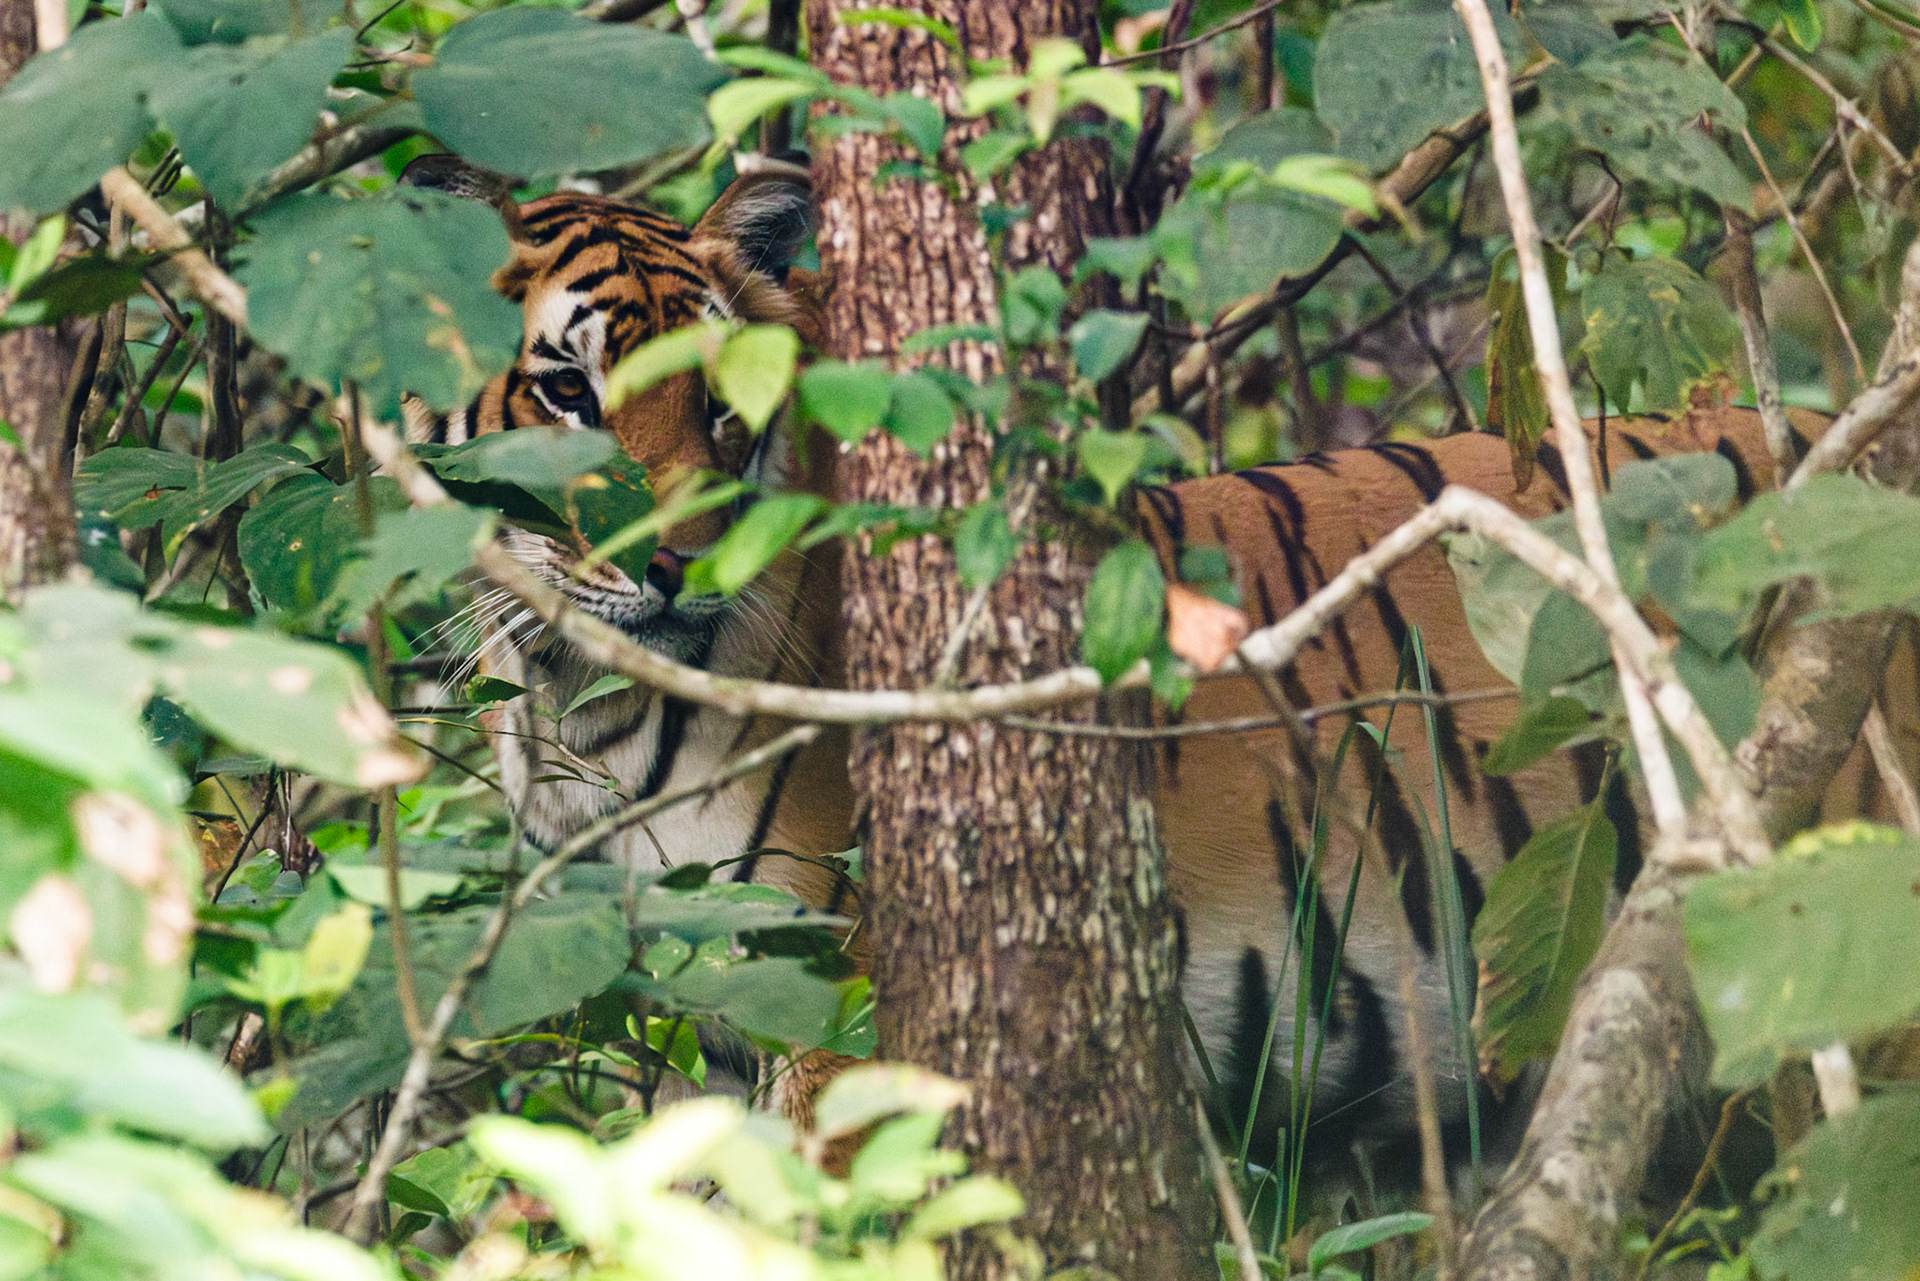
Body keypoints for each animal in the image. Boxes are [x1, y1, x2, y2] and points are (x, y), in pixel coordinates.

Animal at [396, 154, 1865, 1171]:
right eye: (568, 392)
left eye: (721, 404)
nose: (681, 566)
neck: (575, 701)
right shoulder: (697, 1011)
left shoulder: (844, 1003)